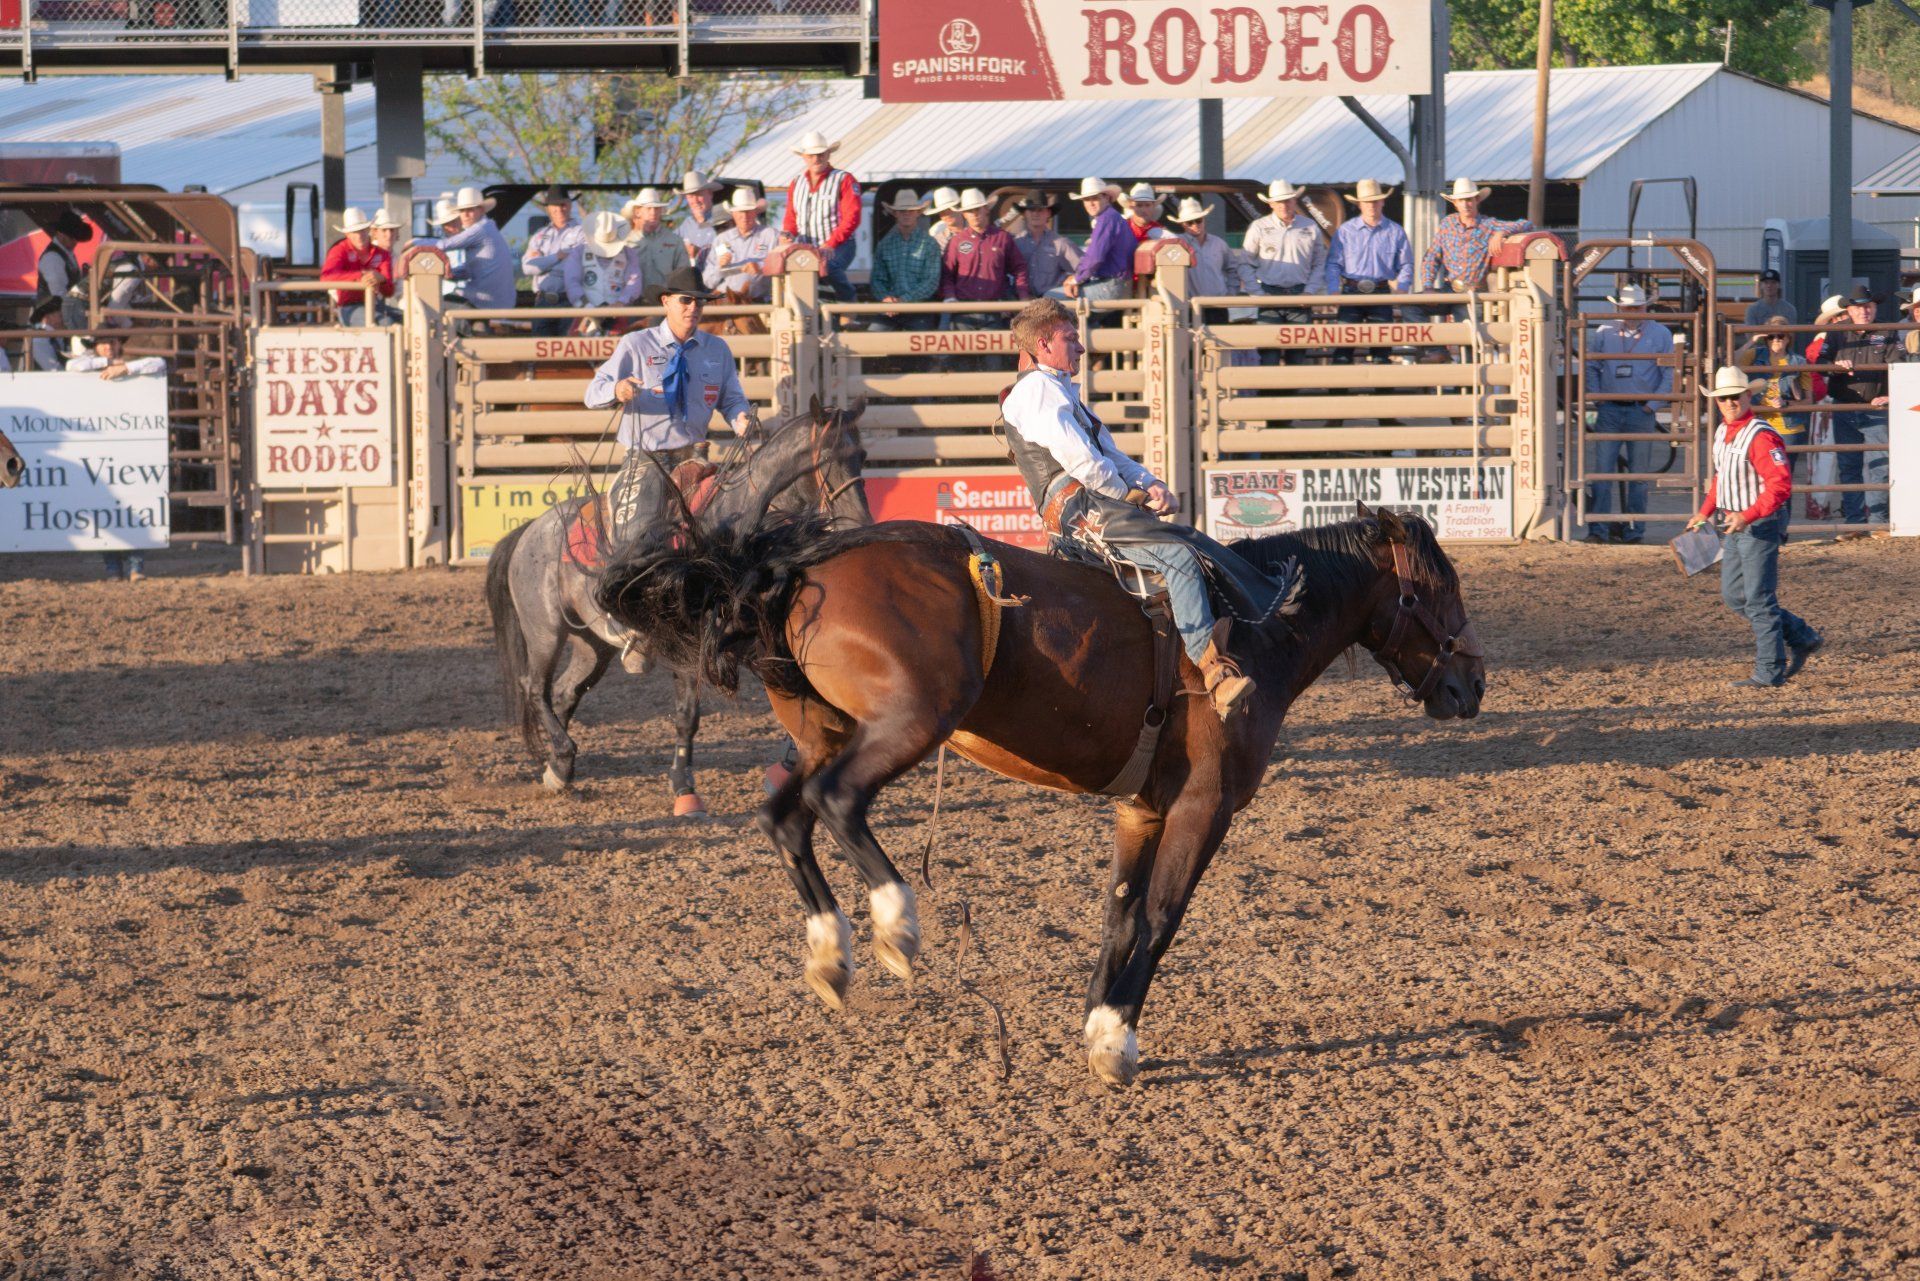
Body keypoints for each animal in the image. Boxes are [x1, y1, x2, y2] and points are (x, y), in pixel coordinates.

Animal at [485, 400, 871, 808]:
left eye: (862, 456)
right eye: (826, 457)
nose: (862, 523)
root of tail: (529, 531)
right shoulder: (691, 648)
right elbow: (688, 715)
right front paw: (684, 786)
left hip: (591, 645)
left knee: (564, 692)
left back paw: (559, 769)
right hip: (544, 631)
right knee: (534, 687)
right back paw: (562, 753)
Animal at [597, 503, 1484, 1086]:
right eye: (1441, 590)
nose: (1472, 684)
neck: (1261, 624)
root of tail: (802, 568)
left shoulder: (1141, 809)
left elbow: (1121, 913)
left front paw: (1096, 1021)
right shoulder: (1205, 807)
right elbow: (1162, 917)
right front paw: (1118, 1042)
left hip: (824, 728)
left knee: (785, 817)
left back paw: (829, 952)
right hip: (910, 720)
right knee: (836, 801)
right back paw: (895, 925)